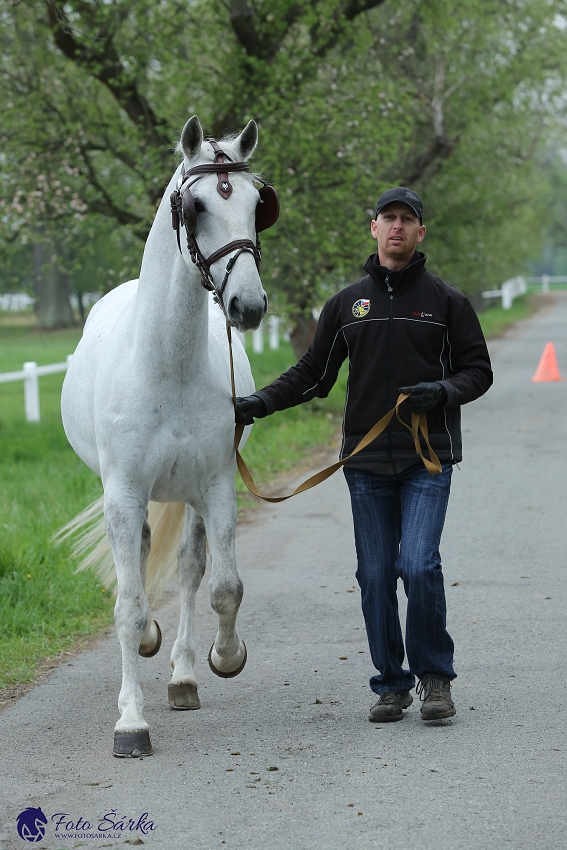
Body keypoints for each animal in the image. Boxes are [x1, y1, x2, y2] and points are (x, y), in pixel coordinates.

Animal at [62, 114, 276, 756]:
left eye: (256, 203)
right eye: (198, 205)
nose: (248, 305)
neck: (167, 367)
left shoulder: (217, 487)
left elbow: (224, 586)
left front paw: (224, 658)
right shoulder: (124, 493)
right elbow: (129, 605)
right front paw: (131, 721)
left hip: (189, 497)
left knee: (187, 570)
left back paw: (181, 675)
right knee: (137, 563)